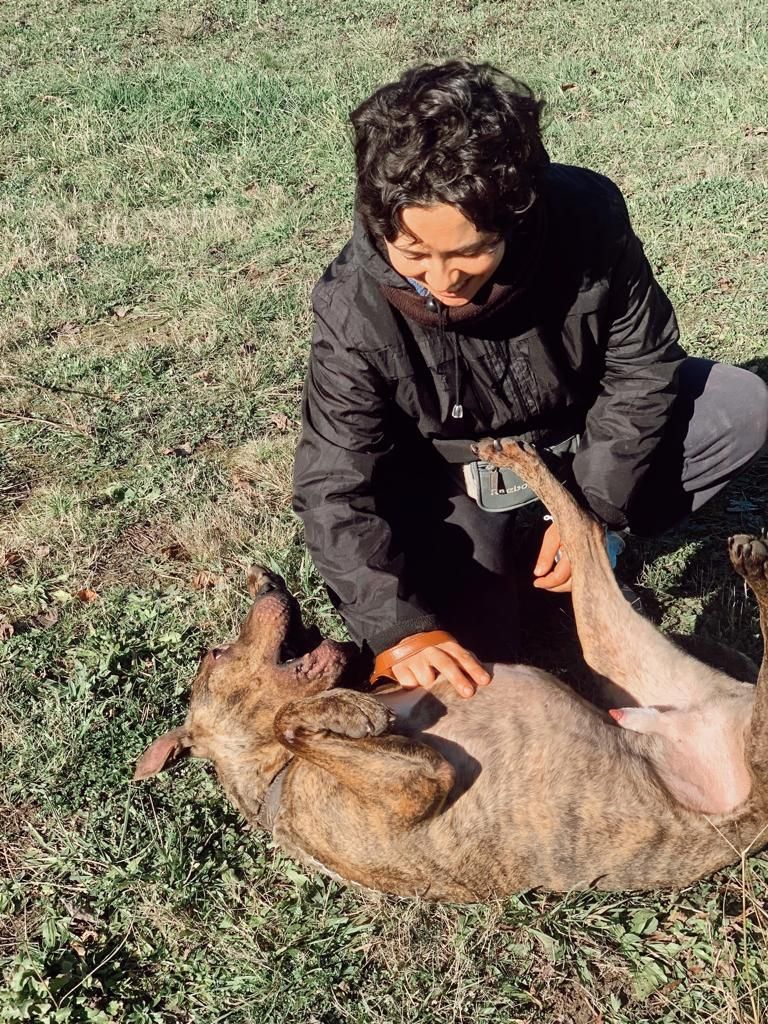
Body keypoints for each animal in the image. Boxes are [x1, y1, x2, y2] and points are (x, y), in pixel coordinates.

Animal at [134, 444, 768, 901]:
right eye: (214, 656)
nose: (264, 580)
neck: (274, 776)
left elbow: (294, 719)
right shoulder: (420, 781)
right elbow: (291, 720)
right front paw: (349, 712)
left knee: (583, 525)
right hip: (619, 647)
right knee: (585, 531)